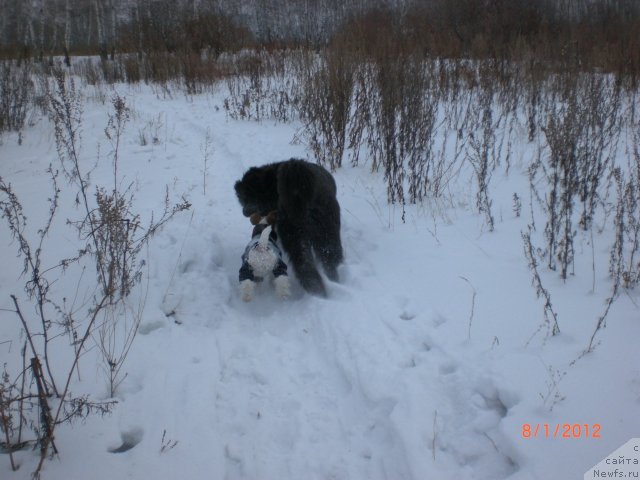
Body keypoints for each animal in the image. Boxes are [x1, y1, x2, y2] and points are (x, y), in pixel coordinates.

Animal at [235, 158, 344, 296]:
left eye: (252, 195)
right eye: (243, 197)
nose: (245, 211)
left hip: (295, 232)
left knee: (304, 265)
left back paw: (316, 291)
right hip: (327, 230)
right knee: (329, 259)